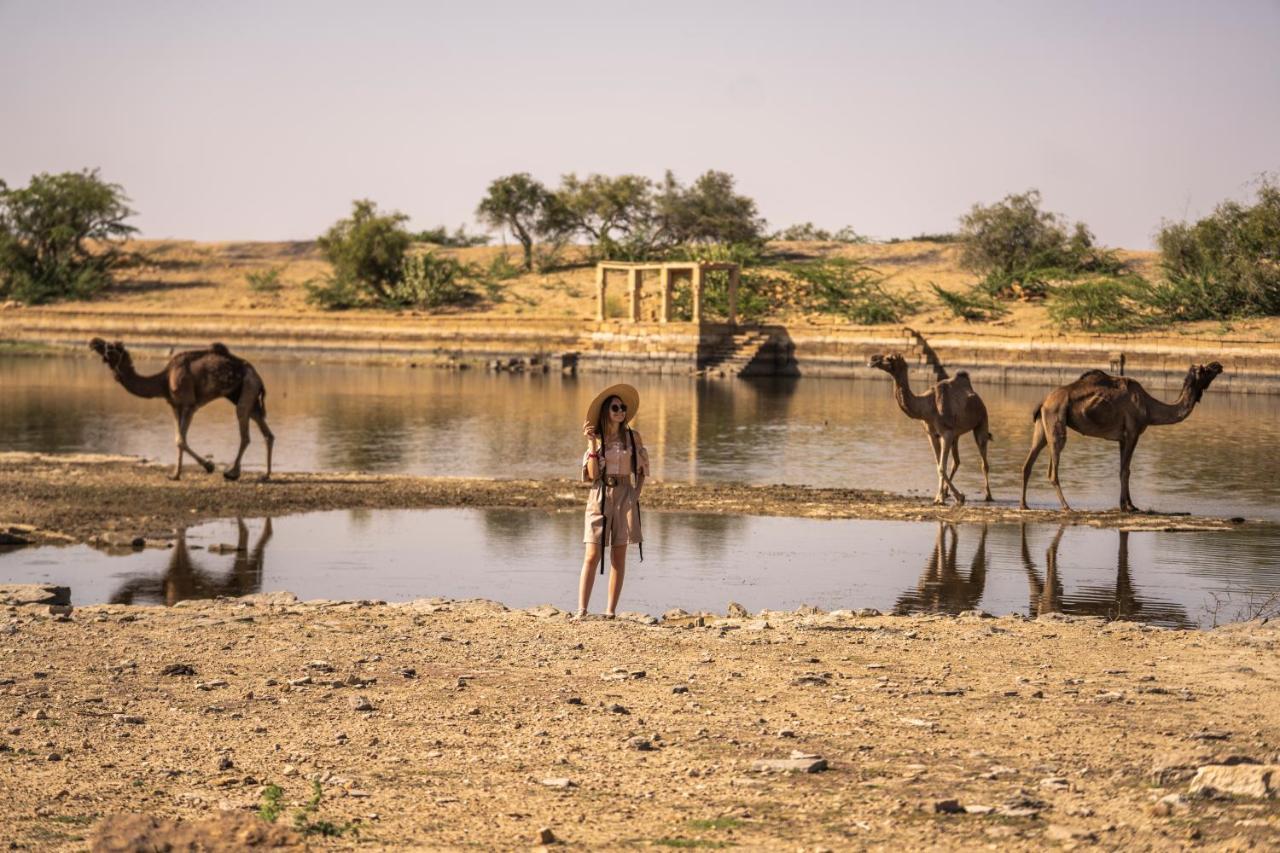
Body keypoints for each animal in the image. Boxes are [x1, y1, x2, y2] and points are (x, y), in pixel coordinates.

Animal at [90, 338, 275, 479]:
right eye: (104, 345)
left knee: (245, 431)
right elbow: (178, 439)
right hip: (246, 396)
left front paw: (209, 466)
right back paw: (265, 475)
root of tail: (259, 378)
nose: (94, 343)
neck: (164, 380)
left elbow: (181, 439)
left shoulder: (189, 404)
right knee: (266, 431)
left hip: (248, 387)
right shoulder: (174, 405)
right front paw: (175, 474)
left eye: (111, 347)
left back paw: (232, 473)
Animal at [865, 353, 993, 504]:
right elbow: (939, 465)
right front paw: (944, 496)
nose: (872, 359)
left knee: (984, 461)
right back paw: (948, 492)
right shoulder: (932, 435)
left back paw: (988, 496)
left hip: (982, 422)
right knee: (956, 461)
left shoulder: (946, 434)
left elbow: (941, 467)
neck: (927, 407)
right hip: (957, 435)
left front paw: (951, 497)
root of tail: (978, 397)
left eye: (889, 358)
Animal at [1018, 361, 1218, 512]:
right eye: (1205, 369)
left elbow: (1124, 469)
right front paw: (1126, 506)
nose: (1219, 365)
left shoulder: (1122, 438)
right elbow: (1125, 470)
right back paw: (1067, 507)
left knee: (1028, 463)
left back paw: (1024, 505)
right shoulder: (1133, 432)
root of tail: (1043, 401)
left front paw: (1130, 505)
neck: (1149, 408)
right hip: (1056, 420)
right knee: (1052, 468)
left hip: (1042, 426)